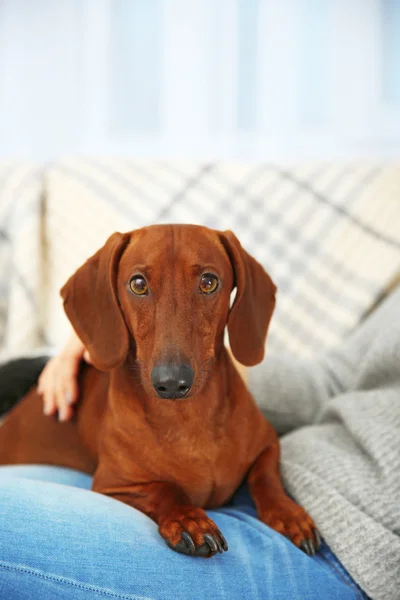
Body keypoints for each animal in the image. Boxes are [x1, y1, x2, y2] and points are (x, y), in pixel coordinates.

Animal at [0, 225, 320, 556]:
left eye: (209, 282)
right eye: (138, 284)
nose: (172, 381)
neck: (188, 419)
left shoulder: (269, 444)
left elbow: (266, 478)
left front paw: (287, 513)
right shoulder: (113, 485)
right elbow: (163, 489)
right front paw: (188, 519)